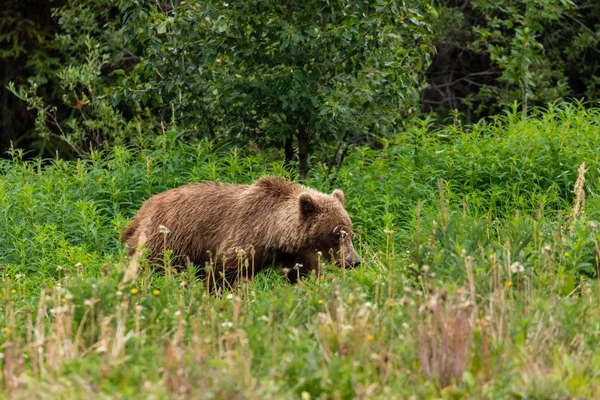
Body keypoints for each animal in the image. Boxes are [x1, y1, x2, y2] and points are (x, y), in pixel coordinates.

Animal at [119, 177, 358, 290]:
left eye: (350, 231)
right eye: (337, 234)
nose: (354, 261)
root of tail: (139, 213)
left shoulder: (296, 252)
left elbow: (304, 272)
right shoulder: (243, 236)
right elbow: (223, 272)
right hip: (164, 242)